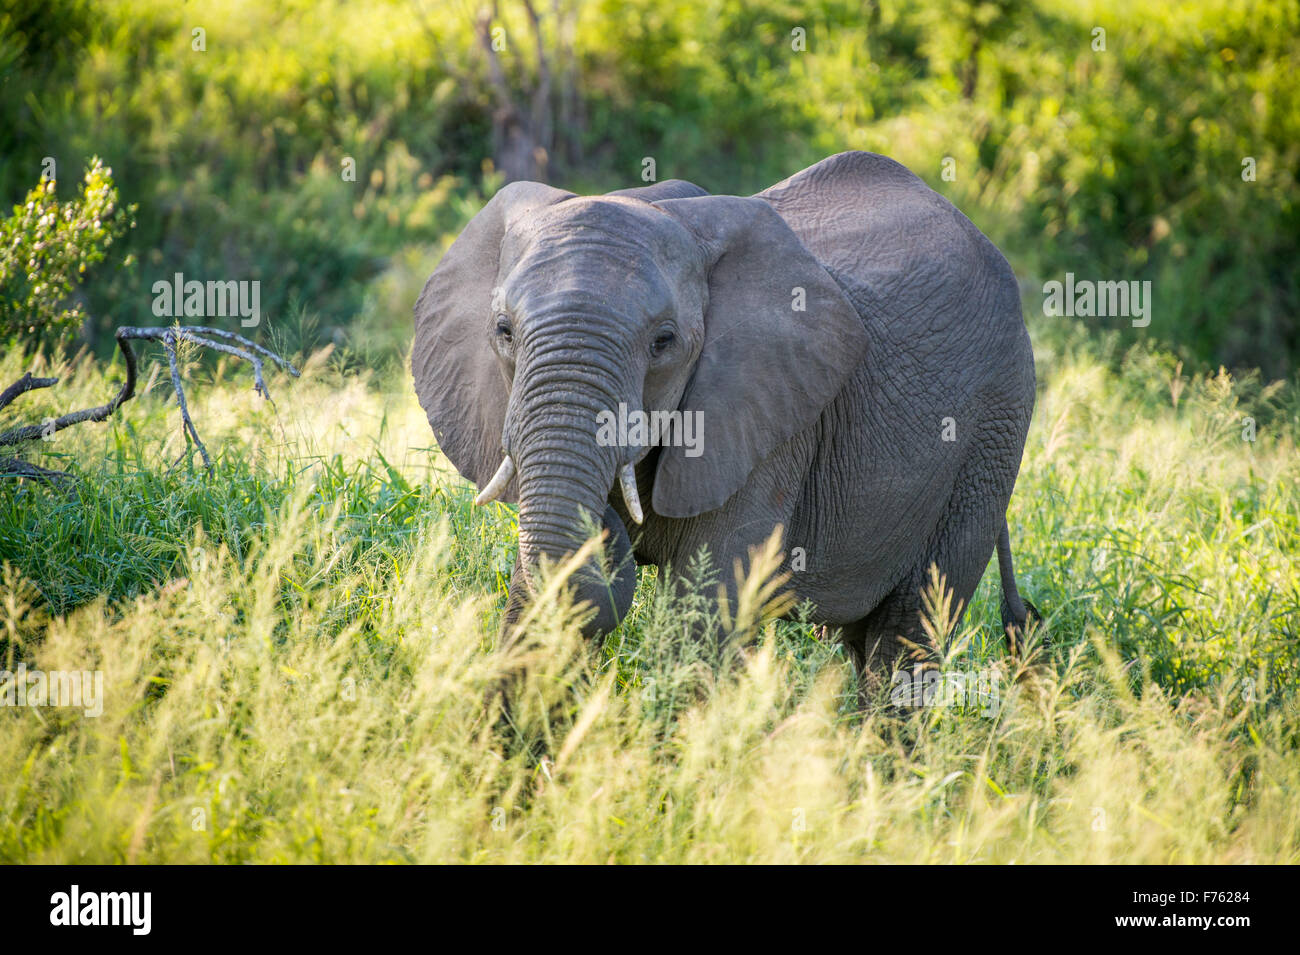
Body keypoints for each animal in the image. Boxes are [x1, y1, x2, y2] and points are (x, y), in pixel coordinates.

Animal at [410, 149, 1040, 686]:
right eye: (503, 331)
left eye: (663, 342)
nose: (611, 531)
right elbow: (532, 595)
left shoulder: (771, 419)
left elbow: (704, 612)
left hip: (993, 429)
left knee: (910, 627)